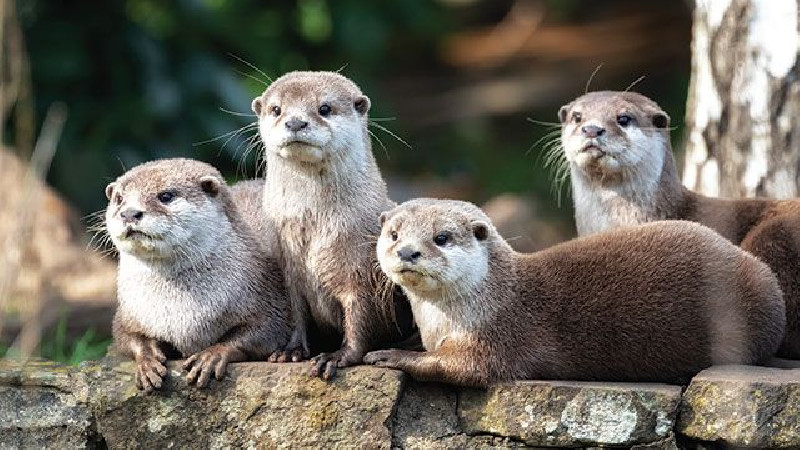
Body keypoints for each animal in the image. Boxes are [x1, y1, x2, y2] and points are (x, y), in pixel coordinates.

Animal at [106, 159, 290, 390]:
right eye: (119, 199)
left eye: (166, 196)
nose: (129, 213)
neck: (182, 311)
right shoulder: (130, 312)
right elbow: (127, 335)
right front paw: (147, 360)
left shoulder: (266, 293)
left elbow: (267, 330)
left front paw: (212, 354)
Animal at [250, 71, 412, 380]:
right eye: (276, 109)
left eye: (324, 108)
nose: (295, 122)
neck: (315, 227)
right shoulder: (289, 269)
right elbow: (296, 313)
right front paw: (291, 350)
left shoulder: (361, 272)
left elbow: (360, 318)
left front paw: (338, 356)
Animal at [364, 200, 788, 386]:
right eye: (394, 234)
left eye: (441, 238)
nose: (407, 251)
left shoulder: (498, 335)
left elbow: (464, 368)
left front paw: (391, 355)